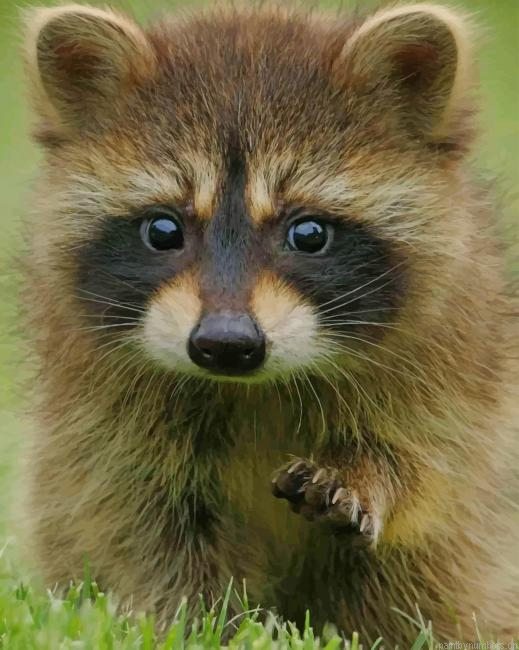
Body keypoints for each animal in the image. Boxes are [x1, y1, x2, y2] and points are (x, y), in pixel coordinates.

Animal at [20, 2, 518, 645]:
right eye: (163, 230)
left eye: (308, 233)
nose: (226, 344)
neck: (253, 388)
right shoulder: (101, 418)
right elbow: (144, 525)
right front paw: (201, 624)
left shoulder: (457, 361)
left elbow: (431, 465)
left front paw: (369, 474)